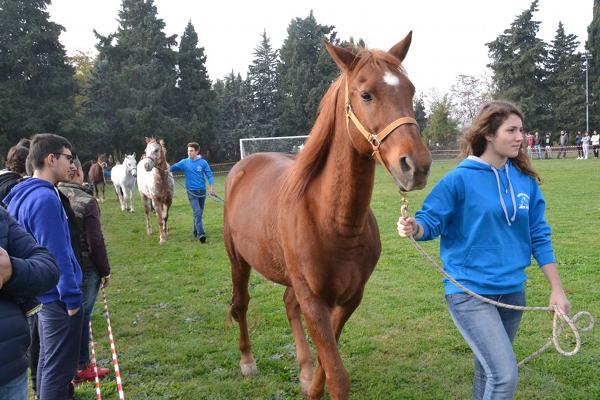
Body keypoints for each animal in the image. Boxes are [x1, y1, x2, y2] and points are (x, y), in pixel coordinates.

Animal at [223, 32, 434, 398]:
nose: (415, 166)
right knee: (242, 303)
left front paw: (311, 384)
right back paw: (247, 360)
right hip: (239, 262)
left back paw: (303, 368)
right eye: (366, 94)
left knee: (287, 304)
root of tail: (244, 164)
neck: (334, 221)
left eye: (410, 90)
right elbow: (337, 373)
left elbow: (327, 358)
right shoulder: (314, 299)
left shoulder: (348, 299)